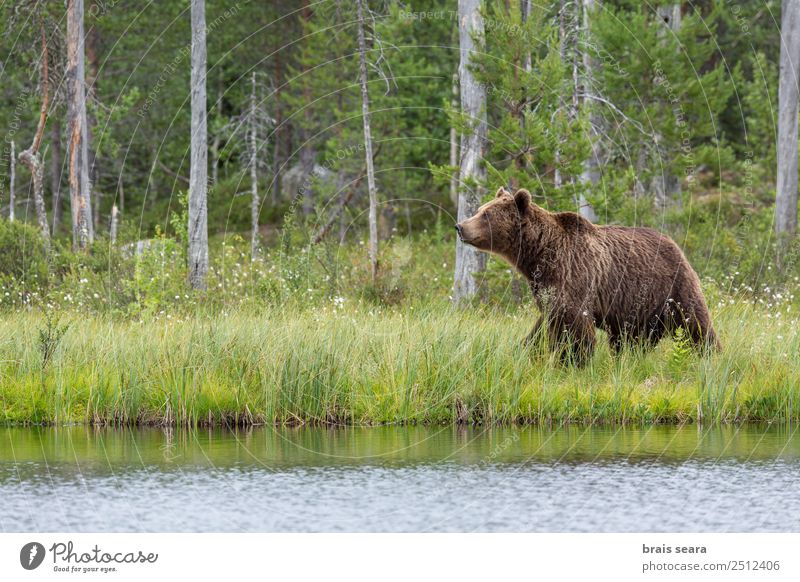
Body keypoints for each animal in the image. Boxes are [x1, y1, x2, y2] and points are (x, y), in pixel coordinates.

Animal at [454, 189, 720, 368]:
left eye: (486, 214)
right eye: (479, 210)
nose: (460, 226)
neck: (539, 254)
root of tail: (674, 243)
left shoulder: (574, 275)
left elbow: (576, 327)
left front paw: (571, 361)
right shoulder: (547, 287)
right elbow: (544, 325)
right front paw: (529, 350)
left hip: (671, 286)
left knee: (695, 322)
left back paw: (710, 354)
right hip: (635, 305)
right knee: (632, 339)